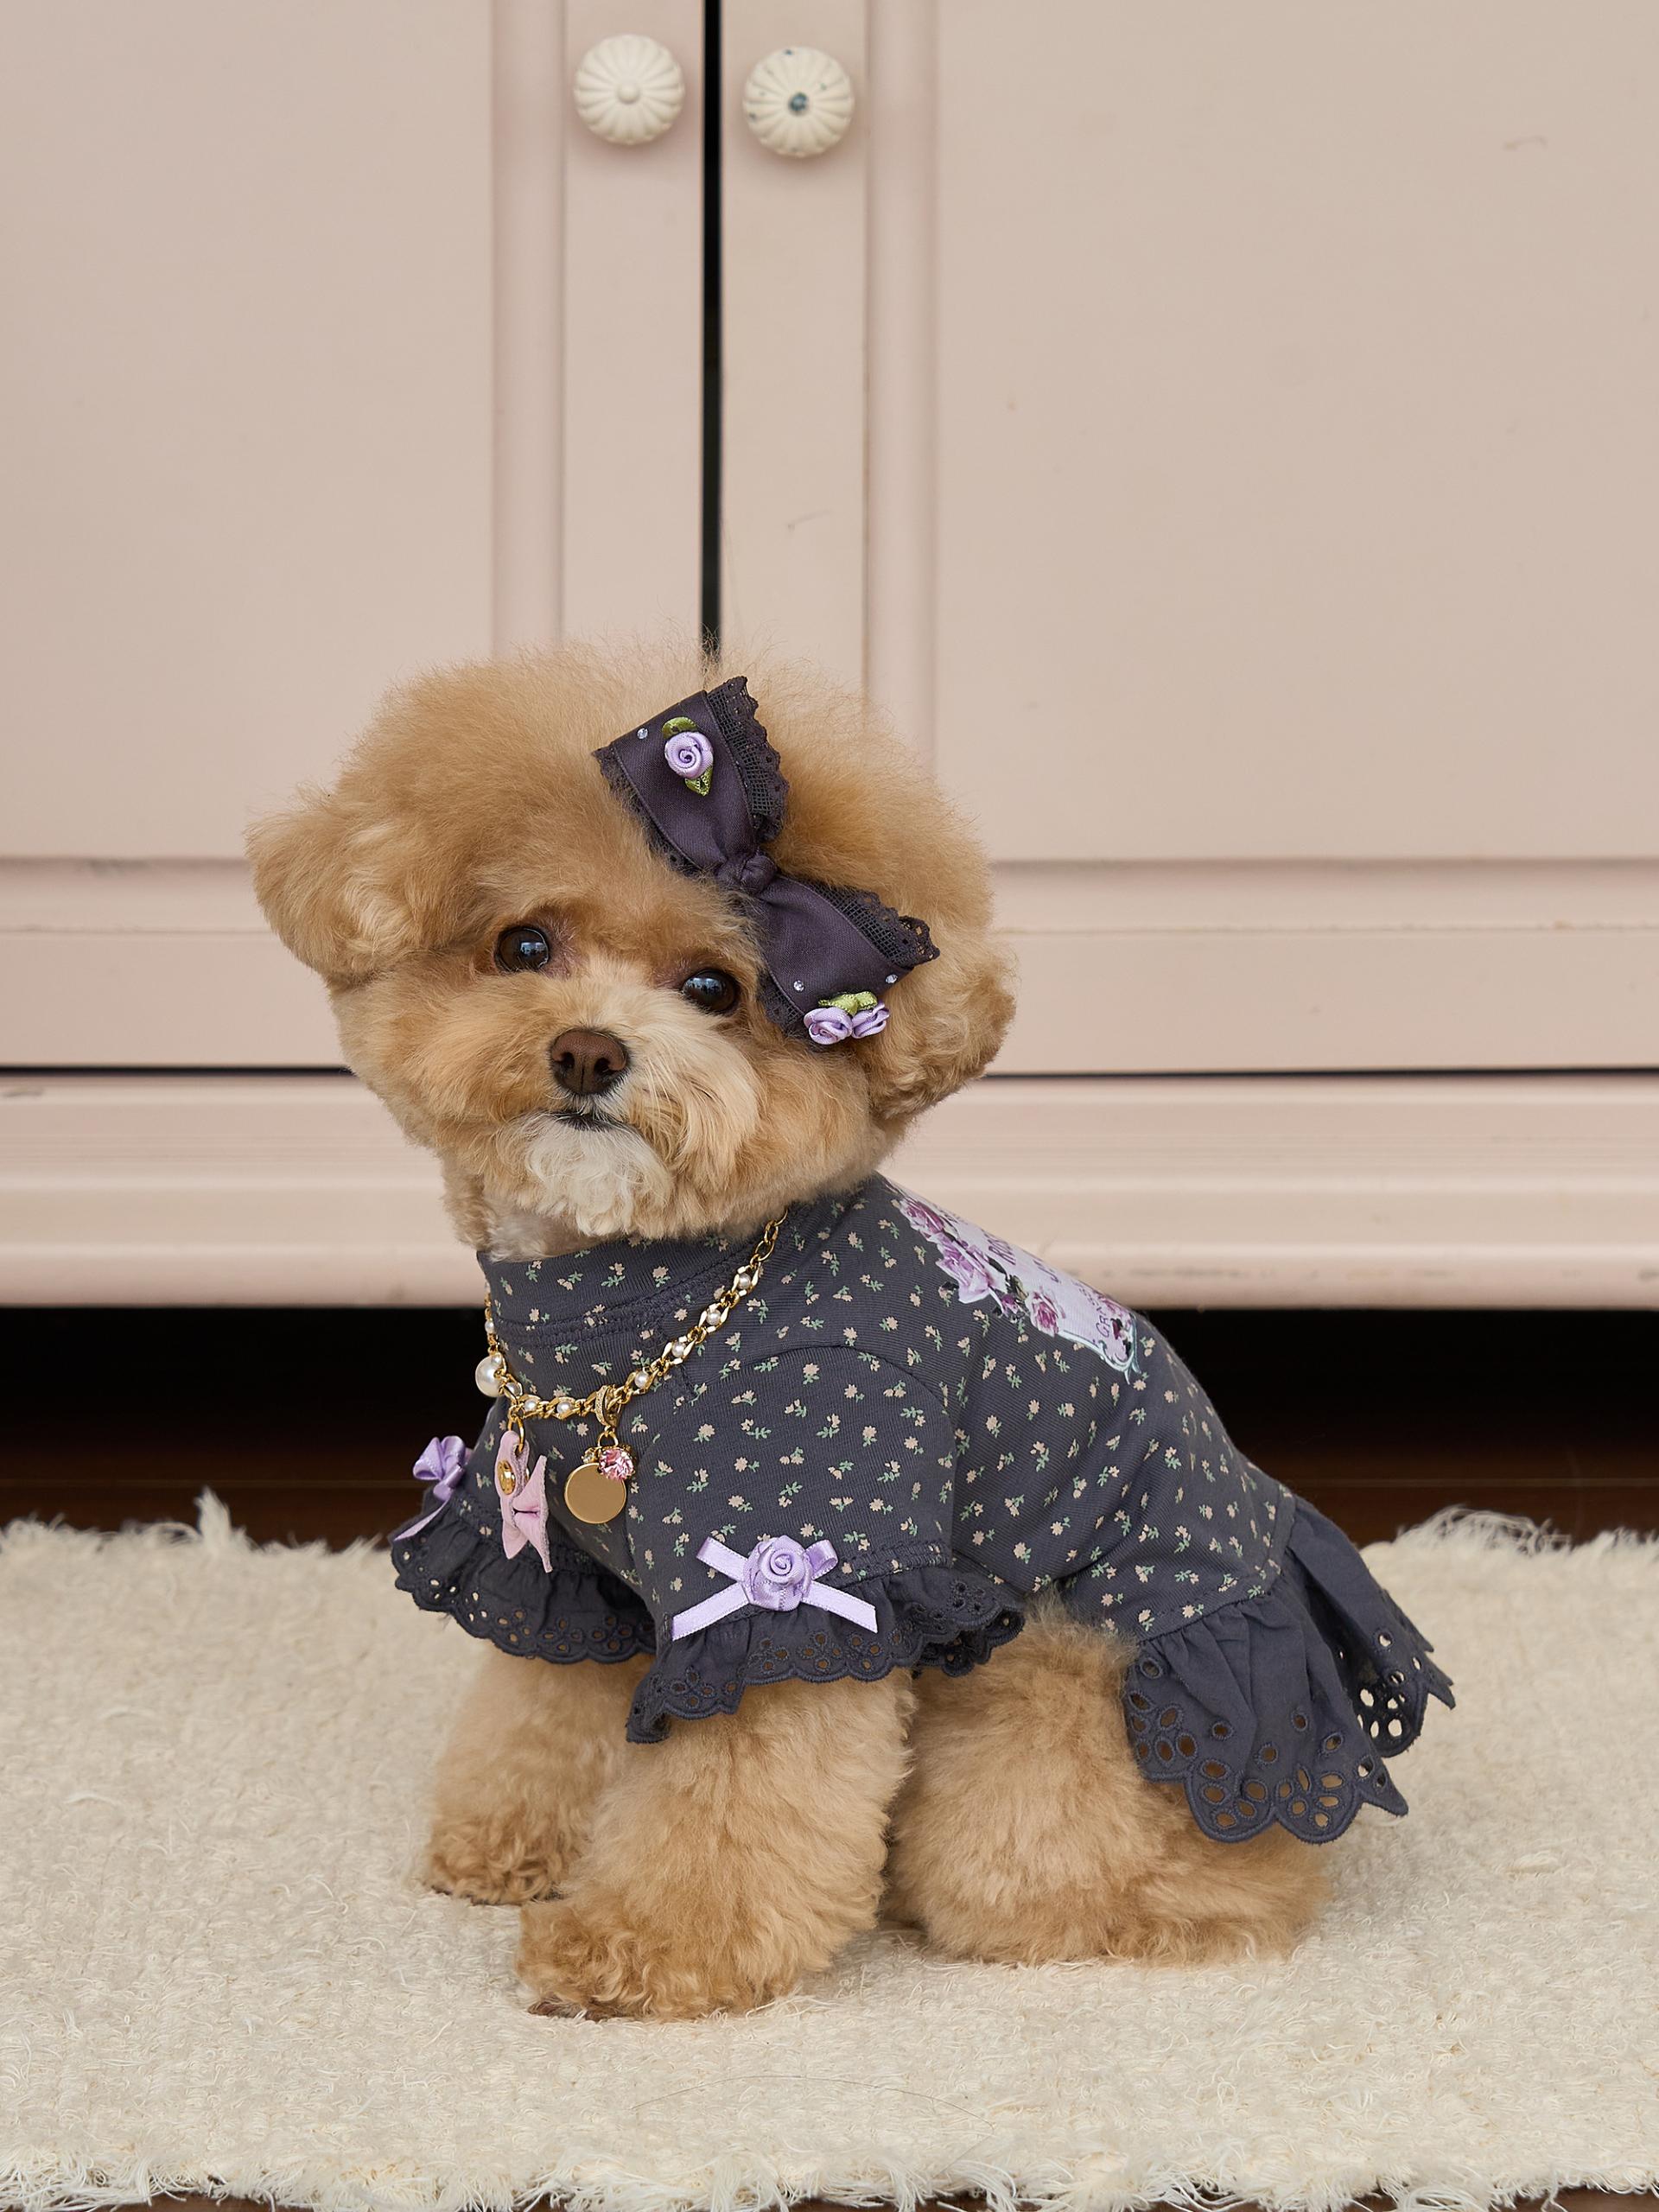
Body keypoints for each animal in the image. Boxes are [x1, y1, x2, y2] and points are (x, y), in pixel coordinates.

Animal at [250, 639, 1450, 2019]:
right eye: (524, 942)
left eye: (716, 988)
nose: (589, 1051)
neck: (647, 1307)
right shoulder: (561, 1566)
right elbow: (546, 1708)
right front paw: (516, 1845)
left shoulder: (802, 1569)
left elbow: (740, 1792)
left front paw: (637, 1946)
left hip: (1051, 1696)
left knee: (1132, 1885)